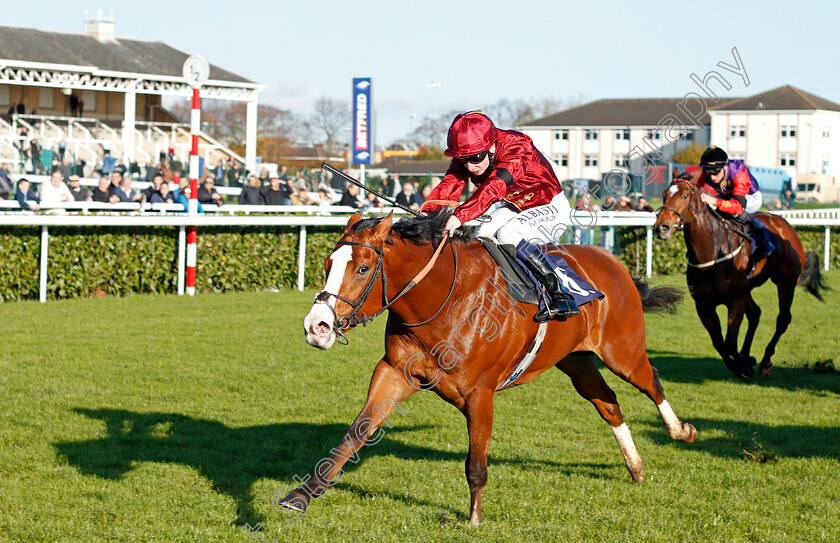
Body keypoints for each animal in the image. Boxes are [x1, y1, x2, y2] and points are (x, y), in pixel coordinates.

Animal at [276, 210, 696, 524]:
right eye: (327, 263)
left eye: (363, 269)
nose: (316, 326)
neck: (441, 300)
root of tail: (613, 262)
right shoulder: (394, 372)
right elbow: (356, 432)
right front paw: (302, 494)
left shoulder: (480, 392)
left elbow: (476, 462)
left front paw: (474, 518)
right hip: (575, 361)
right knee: (607, 401)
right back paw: (636, 468)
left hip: (623, 352)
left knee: (651, 381)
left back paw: (680, 431)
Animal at [652, 173, 824, 378]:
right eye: (664, 195)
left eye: (685, 196)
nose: (661, 227)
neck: (711, 252)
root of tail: (784, 224)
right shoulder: (703, 304)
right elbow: (719, 343)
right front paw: (742, 363)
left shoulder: (735, 300)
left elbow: (729, 343)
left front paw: (745, 363)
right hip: (748, 290)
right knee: (755, 314)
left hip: (786, 282)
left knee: (783, 319)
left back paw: (766, 361)